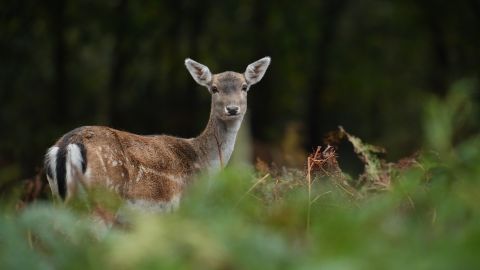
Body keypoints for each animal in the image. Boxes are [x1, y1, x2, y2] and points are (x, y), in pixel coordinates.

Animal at [44, 57, 270, 213]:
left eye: (245, 87)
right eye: (214, 88)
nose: (232, 109)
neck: (205, 162)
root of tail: (66, 145)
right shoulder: (184, 204)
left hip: (59, 199)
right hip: (103, 195)